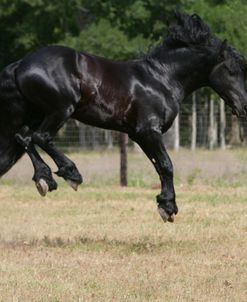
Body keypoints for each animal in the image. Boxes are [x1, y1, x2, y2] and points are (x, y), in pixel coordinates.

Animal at [0, 11, 247, 222]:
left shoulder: (139, 135)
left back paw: (44, 178)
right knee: (40, 137)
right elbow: (167, 164)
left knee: (23, 139)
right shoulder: (149, 131)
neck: (161, 79)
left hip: (37, 114)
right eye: (231, 70)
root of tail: (19, 65)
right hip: (60, 110)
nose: (244, 106)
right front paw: (168, 207)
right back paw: (71, 174)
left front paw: (164, 203)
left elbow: (159, 166)